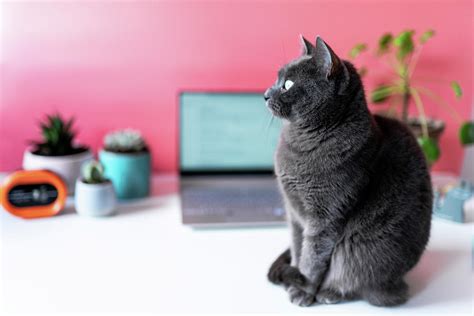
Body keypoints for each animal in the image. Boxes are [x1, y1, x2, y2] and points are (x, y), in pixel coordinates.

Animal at [264, 35, 432, 308]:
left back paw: (330, 293)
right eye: (276, 79)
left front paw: (302, 290)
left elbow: (311, 259)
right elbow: (298, 249)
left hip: (362, 252)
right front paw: (294, 279)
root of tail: (399, 283)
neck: (299, 144)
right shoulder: (294, 213)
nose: (266, 94)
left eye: (287, 84)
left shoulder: (325, 218)